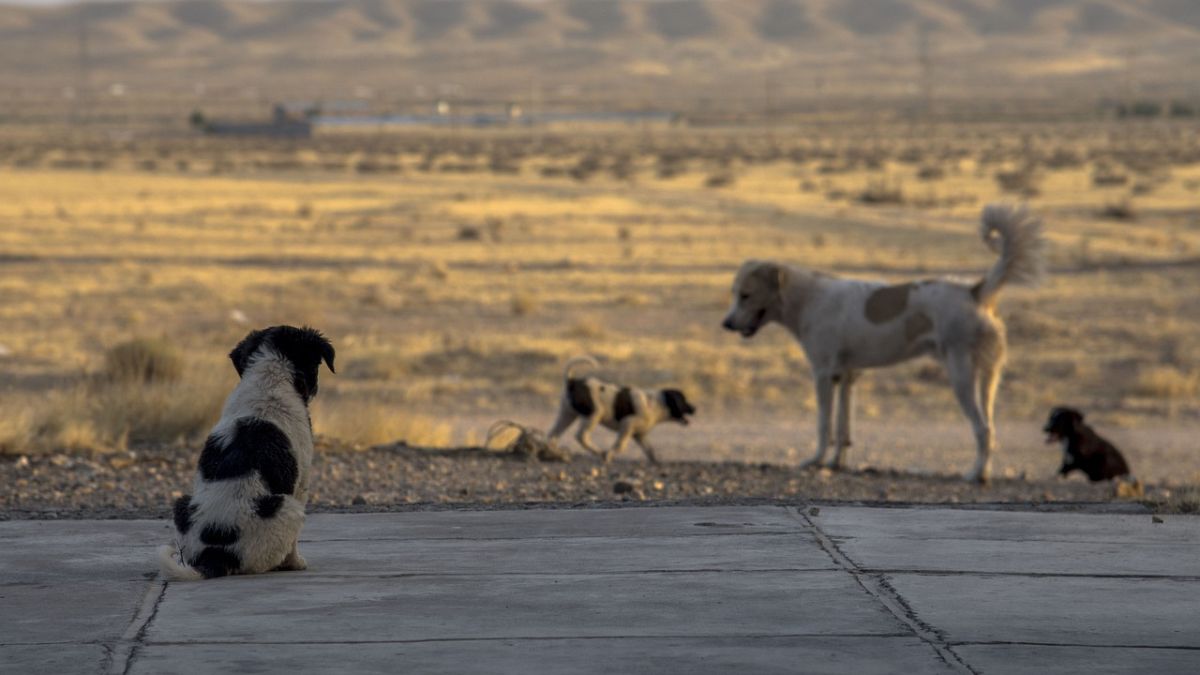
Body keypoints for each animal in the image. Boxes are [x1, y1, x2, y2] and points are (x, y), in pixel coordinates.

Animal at [157, 324, 333, 578]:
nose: (314, 389)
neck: (270, 379)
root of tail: (216, 554)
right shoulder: (302, 481)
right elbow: (294, 545)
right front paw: (296, 563)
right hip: (288, 508)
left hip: (181, 505)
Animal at [544, 353, 696, 461]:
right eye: (684, 400)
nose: (695, 408)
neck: (657, 404)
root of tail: (572, 381)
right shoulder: (627, 425)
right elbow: (620, 445)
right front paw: (609, 455)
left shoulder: (640, 435)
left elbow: (650, 450)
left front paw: (656, 461)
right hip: (594, 414)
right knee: (581, 436)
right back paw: (598, 451)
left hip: (567, 414)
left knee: (553, 434)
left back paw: (552, 451)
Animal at [715, 201, 1046, 480]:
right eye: (734, 293)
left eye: (746, 295)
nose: (726, 324)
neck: (807, 298)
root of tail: (975, 291)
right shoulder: (846, 376)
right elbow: (842, 427)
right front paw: (836, 463)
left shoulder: (823, 375)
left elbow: (824, 424)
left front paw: (816, 461)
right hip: (989, 377)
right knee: (991, 426)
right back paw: (984, 473)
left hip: (961, 375)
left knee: (982, 428)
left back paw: (975, 475)